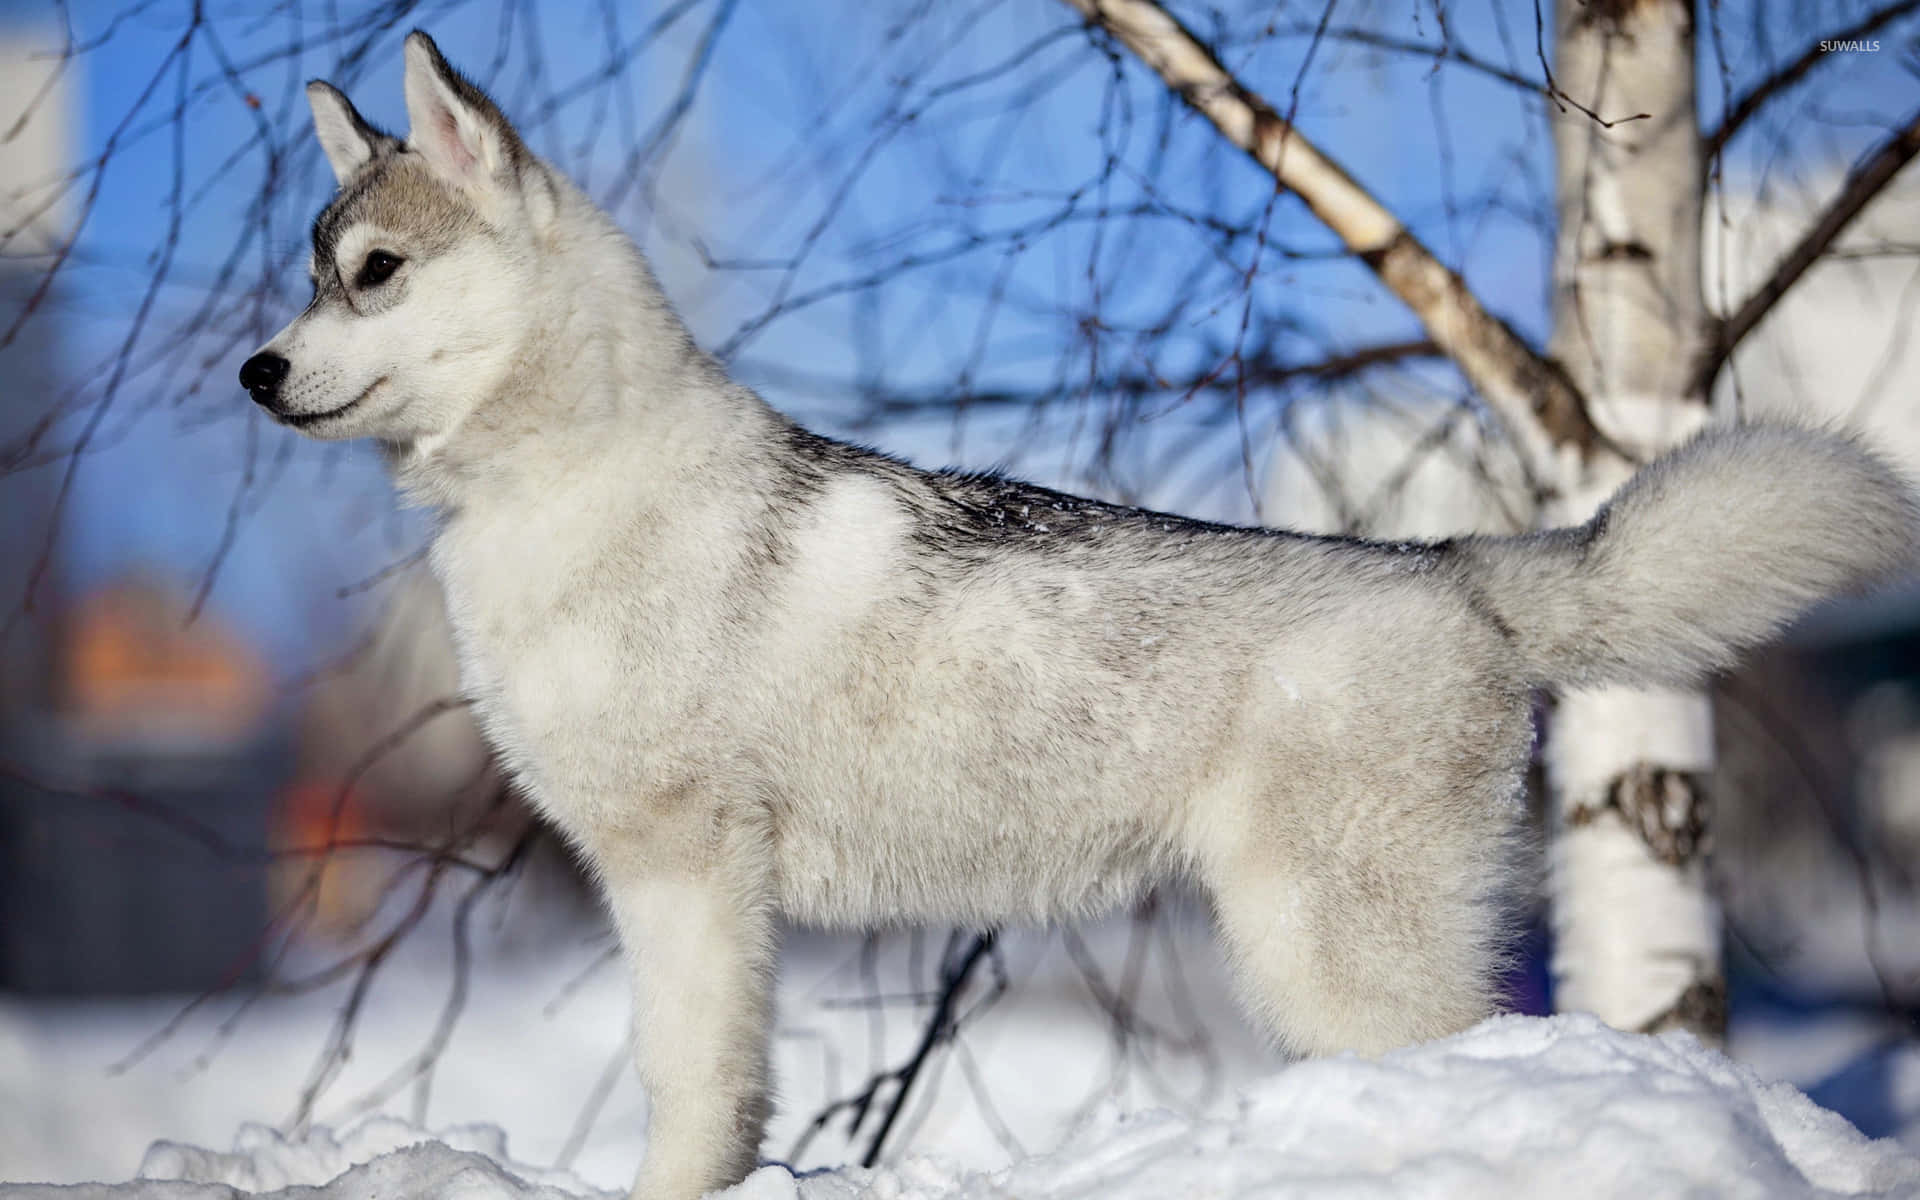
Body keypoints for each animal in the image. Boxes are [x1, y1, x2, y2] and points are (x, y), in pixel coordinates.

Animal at [247, 30, 1912, 1198]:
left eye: (374, 273)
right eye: (311, 278)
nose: (256, 371)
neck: (568, 482)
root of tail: (1456, 566)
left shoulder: (684, 870)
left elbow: (690, 1087)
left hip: (1331, 945)